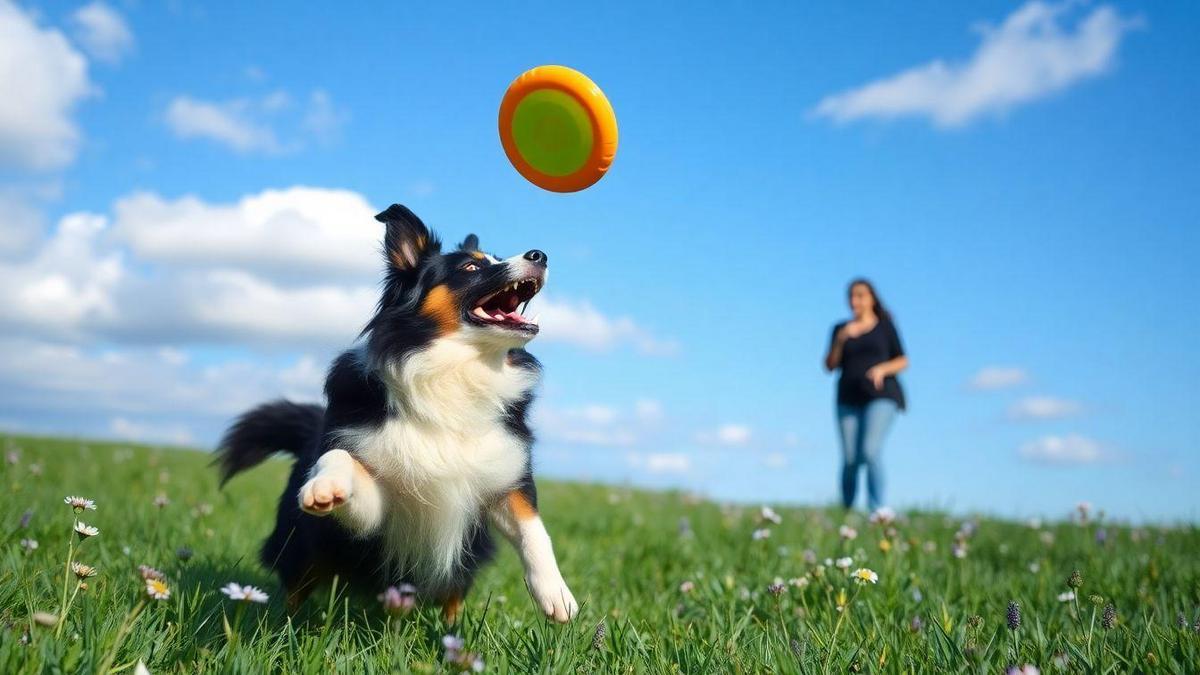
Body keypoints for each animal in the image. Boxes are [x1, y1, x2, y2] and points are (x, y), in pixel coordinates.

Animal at [217, 204, 580, 619]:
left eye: (497, 257)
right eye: (471, 267)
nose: (540, 255)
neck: (454, 371)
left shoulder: (503, 474)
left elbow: (534, 527)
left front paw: (557, 595)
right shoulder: (378, 510)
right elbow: (341, 458)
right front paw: (325, 486)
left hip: (462, 563)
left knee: (452, 597)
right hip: (303, 548)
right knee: (294, 589)